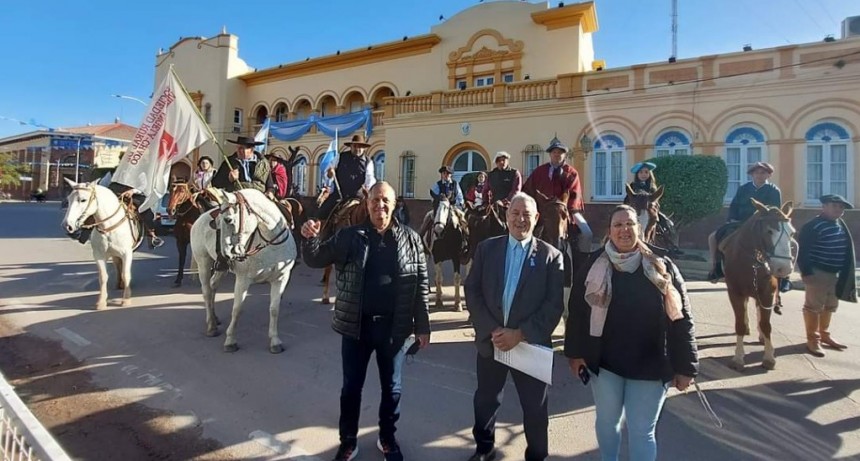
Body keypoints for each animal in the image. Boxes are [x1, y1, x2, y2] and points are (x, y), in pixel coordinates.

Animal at [61, 178, 141, 308]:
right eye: (68, 200)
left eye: (83, 199)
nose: (67, 225)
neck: (108, 228)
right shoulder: (99, 255)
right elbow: (103, 277)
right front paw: (101, 302)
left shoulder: (127, 253)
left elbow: (126, 274)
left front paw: (126, 300)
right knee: (118, 265)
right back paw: (119, 283)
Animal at [190, 187, 298, 352]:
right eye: (217, 223)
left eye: (228, 220)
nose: (226, 254)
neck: (270, 244)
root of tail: (200, 217)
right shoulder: (243, 280)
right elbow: (237, 309)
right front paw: (230, 340)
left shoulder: (281, 278)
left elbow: (274, 309)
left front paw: (275, 341)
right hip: (203, 263)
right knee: (207, 292)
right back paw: (211, 326)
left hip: (221, 269)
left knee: (213, 285)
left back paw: (215, 318)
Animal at [724, 199, 796, 370]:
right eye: (769, 231)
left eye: (792, 233)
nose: (784, 268)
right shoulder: (734, 292)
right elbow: (739, 323)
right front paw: (738, 358)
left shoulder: (767, 293)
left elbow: (766, 324)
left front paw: (769, 357)